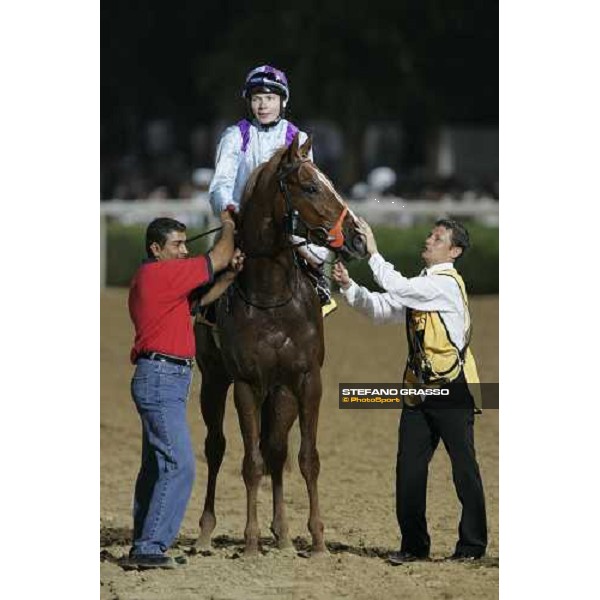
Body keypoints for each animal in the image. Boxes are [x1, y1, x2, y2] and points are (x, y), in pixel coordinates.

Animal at [195, 134, 368, 556]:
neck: (271, 296)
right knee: (216, 446)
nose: (357, 237)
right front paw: (251, 541)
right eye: (310, 187)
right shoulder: (246, 383)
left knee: (275, 447)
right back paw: (206, 531)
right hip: (213, 380)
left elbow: (305, 458)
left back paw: (285, 534)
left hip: (280, 391)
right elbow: (250, 462)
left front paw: (317, 540)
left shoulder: (305, 379)